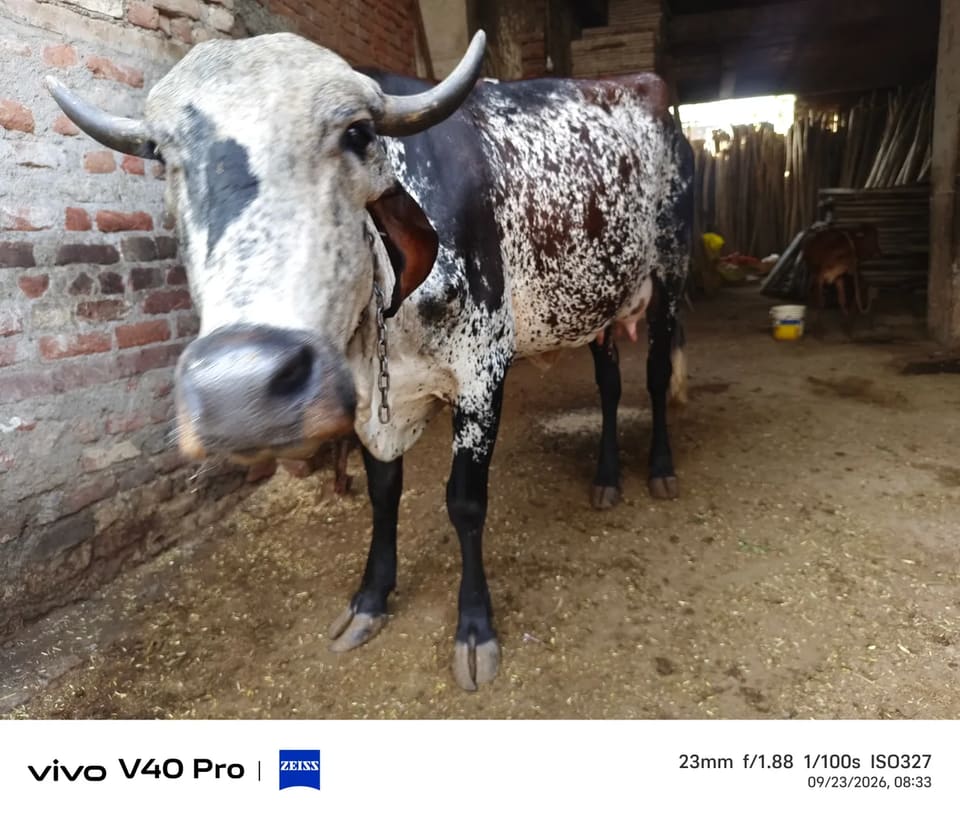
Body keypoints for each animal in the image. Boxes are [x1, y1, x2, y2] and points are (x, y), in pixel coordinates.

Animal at [47, 30, 692, 691]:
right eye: (160, 154)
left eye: (357, 133)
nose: (240, 390)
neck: (381, 317)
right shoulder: (371, 400)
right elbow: (384, 493)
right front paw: (371, 599)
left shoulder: (483, 370)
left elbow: (465, 502)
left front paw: (474, 627)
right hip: (601, 306)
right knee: (610, 386)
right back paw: (606, 478)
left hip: (670, 271)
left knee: (654, 375)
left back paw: (659, 469)